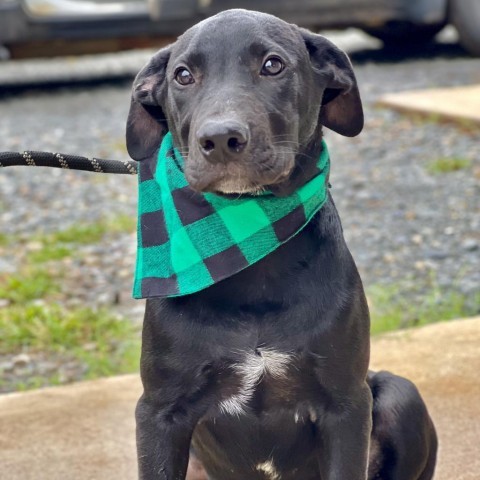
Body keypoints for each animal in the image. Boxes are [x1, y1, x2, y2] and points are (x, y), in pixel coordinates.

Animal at [125, 8, 436, 480]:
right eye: (182, 75)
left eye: (273, 65)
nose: (220, 140)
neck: (250, 254)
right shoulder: (159, 412)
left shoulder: (347, 405)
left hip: (400, 394)